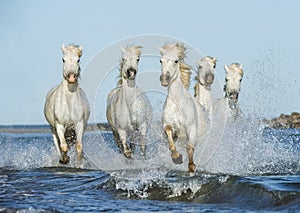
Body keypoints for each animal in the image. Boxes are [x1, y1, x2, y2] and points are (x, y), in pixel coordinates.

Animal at [159, 42, 209, 174]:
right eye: (161, 60)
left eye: (176, 61)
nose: (164, 80)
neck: (178, 103)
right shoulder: (169, 126)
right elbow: (169, 135)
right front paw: (177, 158)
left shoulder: (191, 129)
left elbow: (190, 147)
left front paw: (191, 167)